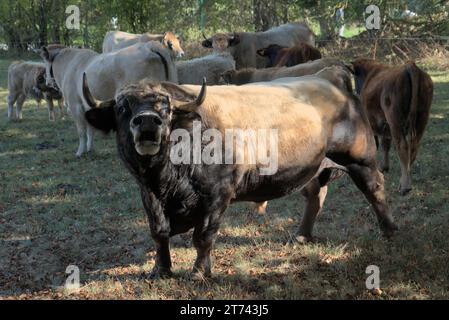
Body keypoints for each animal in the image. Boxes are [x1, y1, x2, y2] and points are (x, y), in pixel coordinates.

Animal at [39, 42, 177, 157]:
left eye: (45, 63)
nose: (47, 82)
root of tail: (150, 45)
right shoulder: (88, 105)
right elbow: (90, 129)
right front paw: (89, 148)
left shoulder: (75, 105)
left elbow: (81, 131)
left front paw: (80, 151)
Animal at [352, 58, 432, 196]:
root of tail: (410, 66)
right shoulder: (385, 128)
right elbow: (385, 145)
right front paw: (384, 167)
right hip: (421, 119)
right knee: (413, 147)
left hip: (395, 121)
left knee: (402, 146)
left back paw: (404, 186)